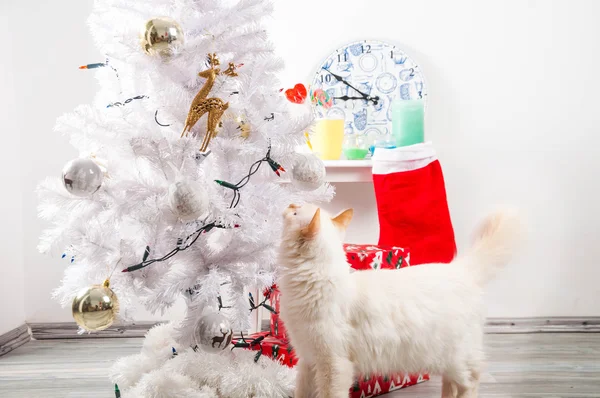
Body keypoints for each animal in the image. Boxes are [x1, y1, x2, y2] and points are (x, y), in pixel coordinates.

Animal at [278, 204, 524, 396]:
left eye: (295, 212)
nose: (289, 204)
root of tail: (459, 269)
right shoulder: (308, 359)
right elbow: (302, 393)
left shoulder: (333, 364)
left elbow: (329, 394)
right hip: (447, 361)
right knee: (451, 384)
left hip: (456, 356)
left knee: (471, 381)